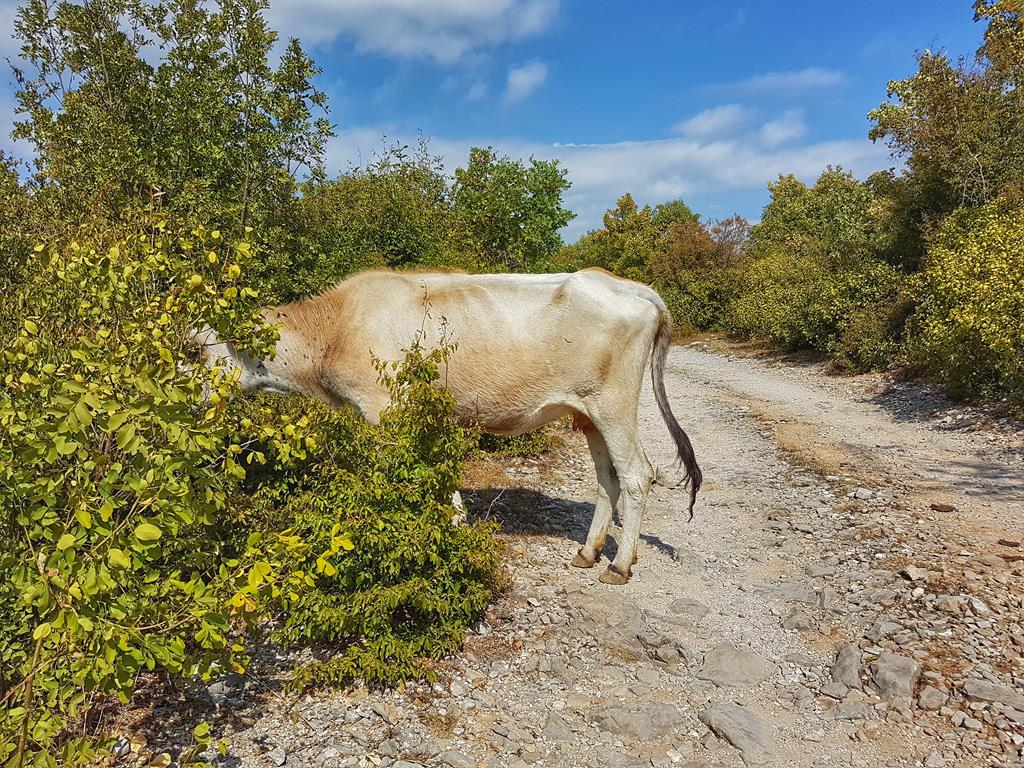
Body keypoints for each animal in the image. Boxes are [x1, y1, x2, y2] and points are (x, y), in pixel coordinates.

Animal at [190, 268, 704, 585]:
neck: (336, 329)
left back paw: (618, 565)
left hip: (615, 405)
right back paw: (588, 551)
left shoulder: (384, 408)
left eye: (195, 349)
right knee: (606, 480)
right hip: (588, 411)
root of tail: (628, 286)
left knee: (637, 474)